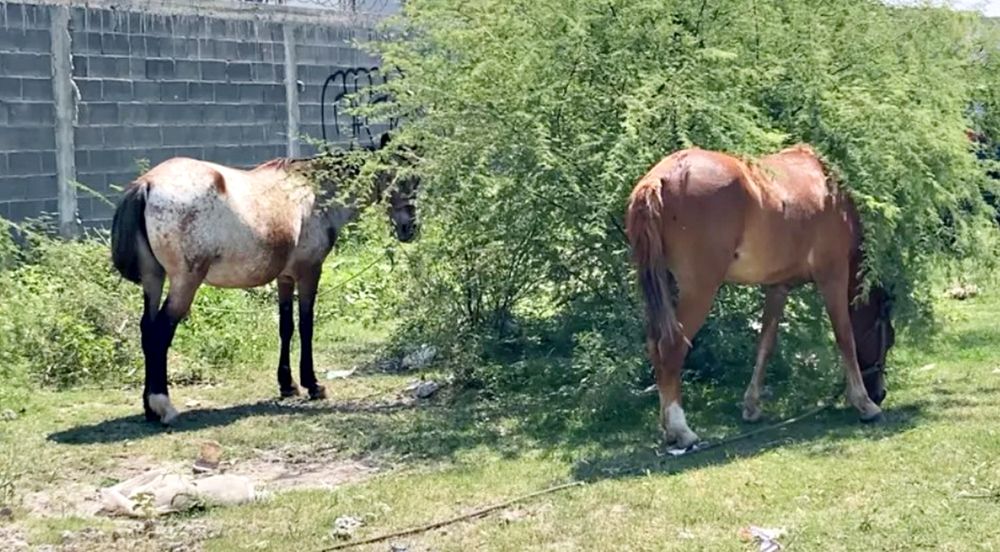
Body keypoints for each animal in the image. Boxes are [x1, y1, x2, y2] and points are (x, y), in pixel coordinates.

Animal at [110, 134, 420, 424]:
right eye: (403, 177)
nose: (410, 228)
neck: (313, 193)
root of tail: (148, 184)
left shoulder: (284, 277)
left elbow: (286, 327)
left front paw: (288, 384)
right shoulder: (309, 273)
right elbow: (306, 326)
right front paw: (313, 385)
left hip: (154, 279)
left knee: (146, 329)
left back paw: (149, 408)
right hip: (184, 283)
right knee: (160, 331)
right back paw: (163, 405)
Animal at [625, 144, 895, 448]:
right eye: (888, 339)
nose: (879, 394)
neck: (828, 191)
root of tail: (660, 178)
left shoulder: (778, 287)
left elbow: (766, 344)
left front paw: (752, 406)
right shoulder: (833, 276)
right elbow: (845, 337)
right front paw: (864, 404)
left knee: (655, 345)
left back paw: (669, 429)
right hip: (699, 290)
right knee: (671, 347)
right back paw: (681, 430)